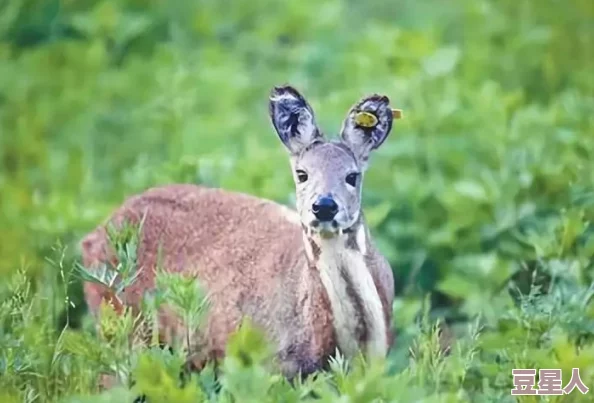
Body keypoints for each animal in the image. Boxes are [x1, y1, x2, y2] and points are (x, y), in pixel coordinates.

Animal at [80, 84, 398, 382]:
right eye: (302, 174)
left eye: (352, 176)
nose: (324, 206)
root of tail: (92, 236)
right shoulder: (274, 365)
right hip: (121, 328)